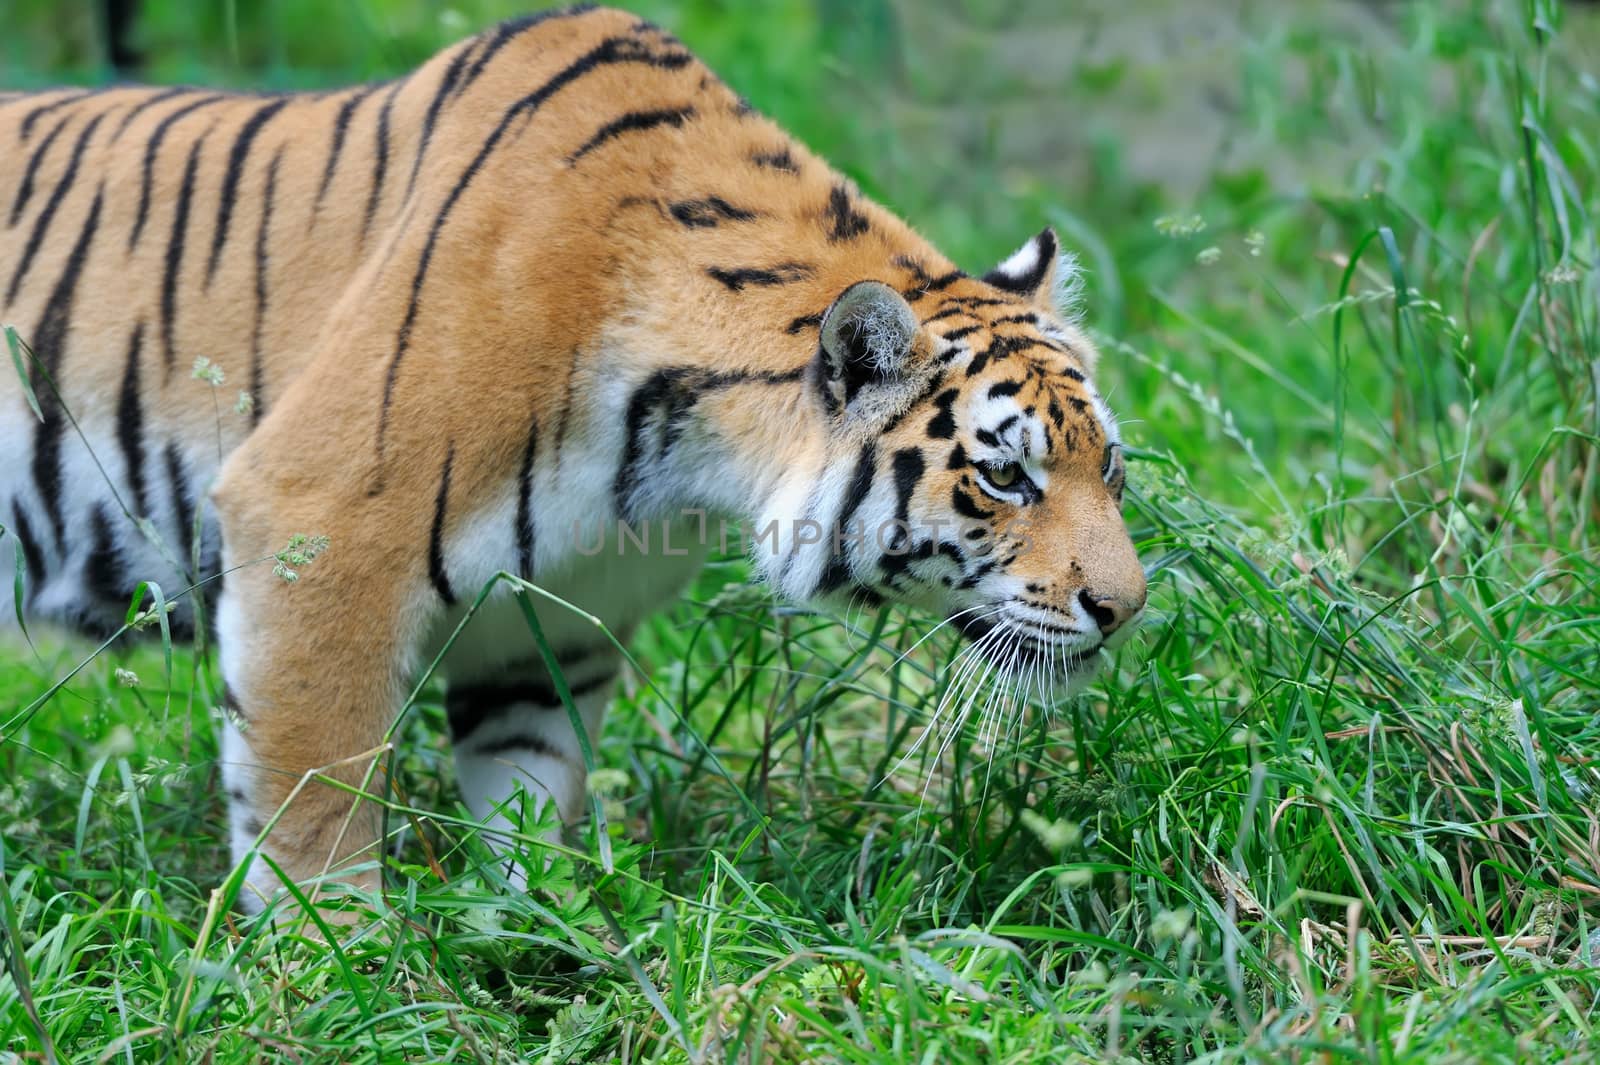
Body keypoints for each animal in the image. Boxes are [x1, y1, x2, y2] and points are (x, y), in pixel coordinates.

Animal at [3, 4, 1152, 908]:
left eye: (1111, 470)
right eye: (1005, 476)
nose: (1127, 609)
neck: (679, 467)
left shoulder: (548, 619)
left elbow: (526, 790)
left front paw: (533, 926)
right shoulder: (315, 525)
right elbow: (314, 788)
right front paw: (339, 957)